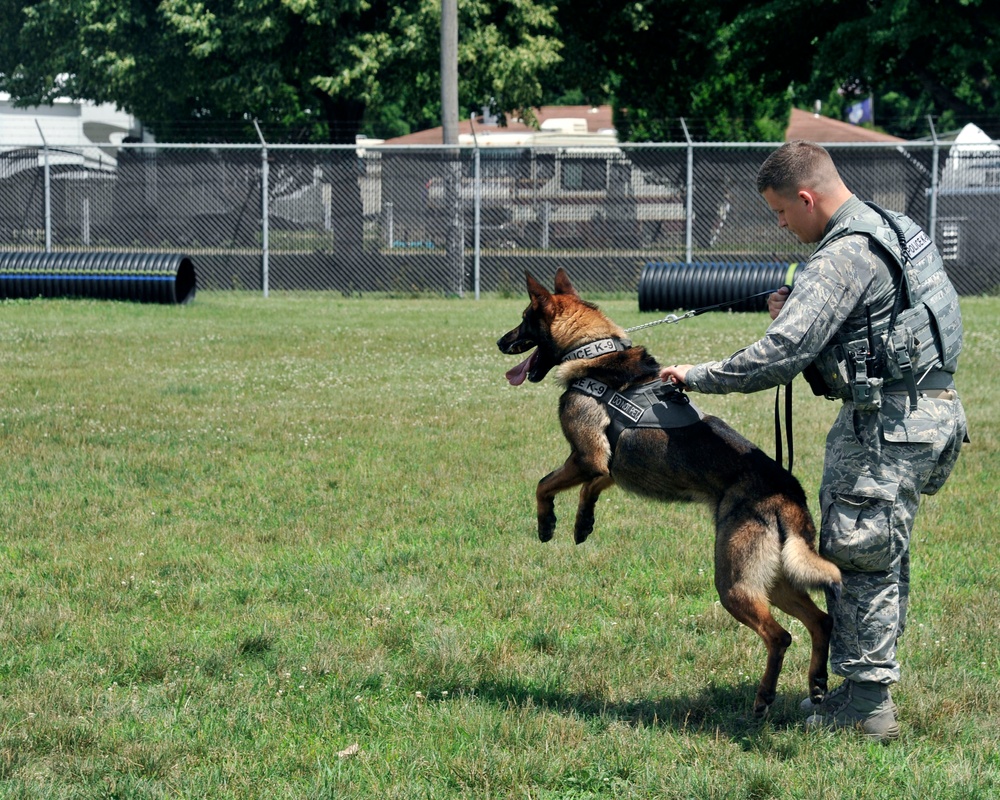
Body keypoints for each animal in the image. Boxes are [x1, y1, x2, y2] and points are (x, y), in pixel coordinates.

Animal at [496, 270, 840, 720]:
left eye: (524, 319)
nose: (500, 342)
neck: (593, 351)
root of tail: (788, 494)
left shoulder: (588, 459)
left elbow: (544, 483)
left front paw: (548, 523)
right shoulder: (610, 467)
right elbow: (591, 487)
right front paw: (583, 522)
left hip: (733, 583)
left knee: (780, 636)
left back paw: (764, 697)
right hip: (775, 577)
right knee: (820, 621)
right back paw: (816, 683)